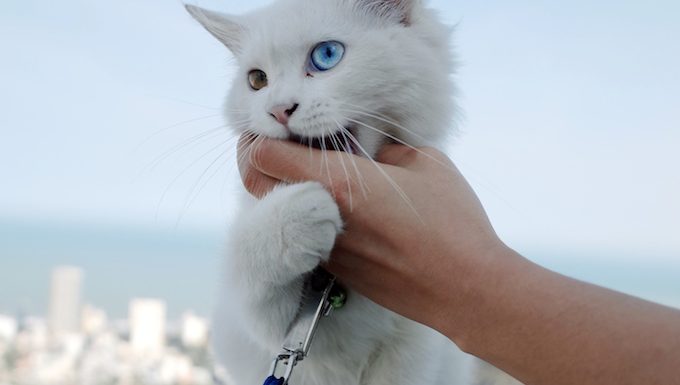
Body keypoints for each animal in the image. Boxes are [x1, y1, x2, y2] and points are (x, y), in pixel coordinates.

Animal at [186, 0, 520, 384]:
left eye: (327, 55)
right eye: (257, 80)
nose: (278, 110)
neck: (330, 286)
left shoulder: (413, 349)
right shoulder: (275, 337)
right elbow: (255, 285)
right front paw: (296, 215)